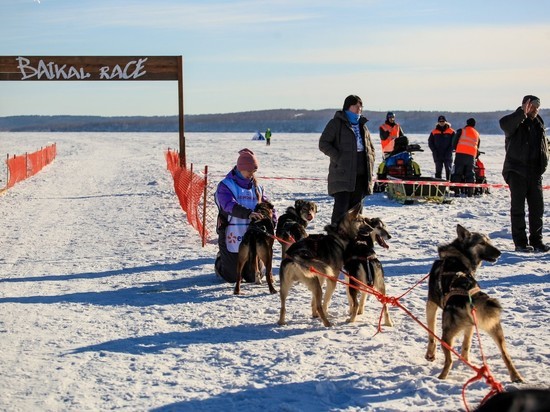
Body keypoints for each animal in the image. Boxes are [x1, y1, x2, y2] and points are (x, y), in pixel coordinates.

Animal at [426, 225, 528, 384]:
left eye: (489, 241)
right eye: (482, 243)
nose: (500, 252)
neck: (457, 256)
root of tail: (469, 295)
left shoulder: (431, 303)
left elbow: (431, 333)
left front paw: (430, 354)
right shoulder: (471, 325)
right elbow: (466, 345)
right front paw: (466, 360)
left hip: (447, 335)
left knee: (449, 361)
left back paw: (441, 378)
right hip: (496, 330)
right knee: (506, 355)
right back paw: (516, 376)